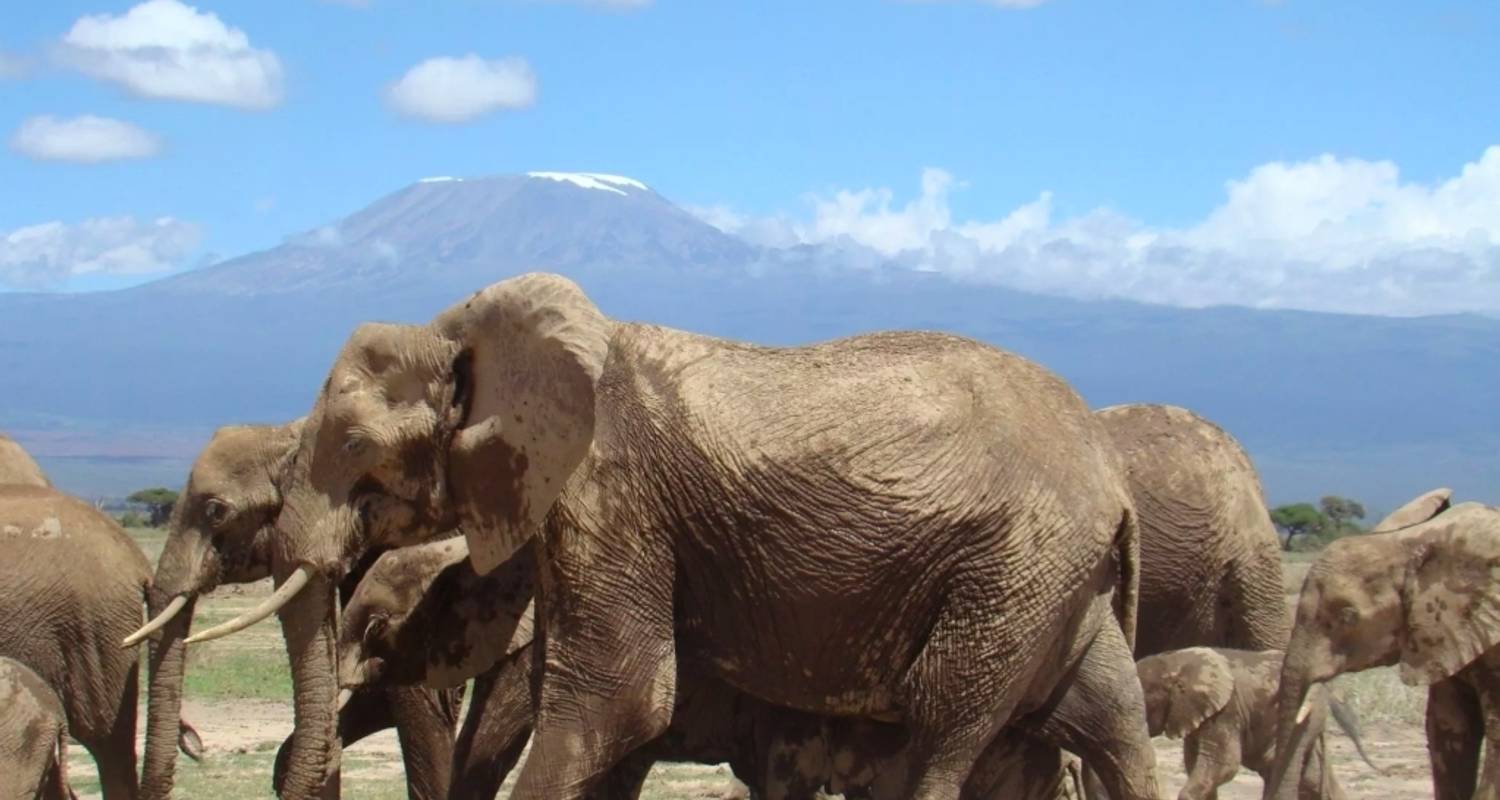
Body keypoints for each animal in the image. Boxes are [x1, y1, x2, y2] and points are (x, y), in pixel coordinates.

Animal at [190, 273, 1158, 798]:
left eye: (355, 447)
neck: (469, 329)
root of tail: (1115, 480)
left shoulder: (610, 491)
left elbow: (620, 697)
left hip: (1013, 569)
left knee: (941, 733)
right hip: (1055, 584)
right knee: (1114, 722)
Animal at [1134, 642, 1374, 798]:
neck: (1176, 661)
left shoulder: (1227, 710)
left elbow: (1223, 764)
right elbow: (1195, 763)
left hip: (1304, 720)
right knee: (1310, 776)